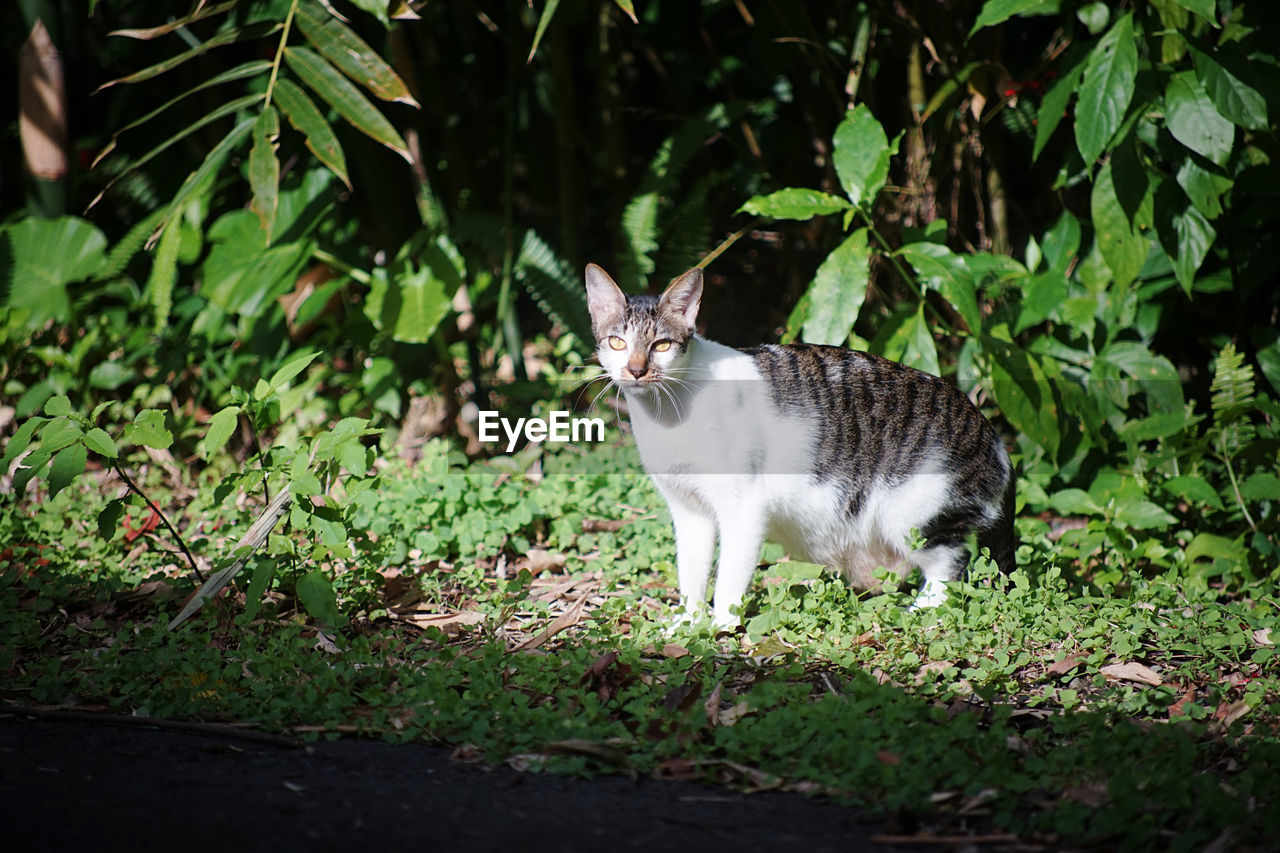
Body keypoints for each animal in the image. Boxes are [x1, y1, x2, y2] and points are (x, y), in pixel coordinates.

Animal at [586, 262, 1013, 627]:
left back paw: (921, 610)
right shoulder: (688, 509)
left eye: (661, 345)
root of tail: (992, 438)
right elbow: (691, 572)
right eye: (617, 342)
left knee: (951, 562)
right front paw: (688, 624)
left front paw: (720, 628)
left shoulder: (744, 506)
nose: (636, 370)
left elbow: (730, 575)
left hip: (912, 513)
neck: (666, 412)